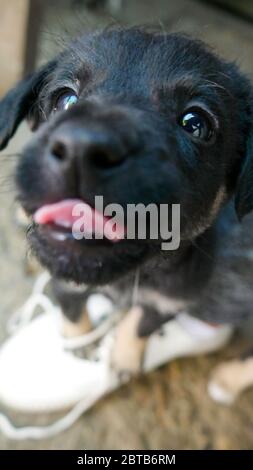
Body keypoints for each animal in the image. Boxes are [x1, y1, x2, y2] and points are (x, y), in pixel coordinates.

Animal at [0, 27, 253, 392]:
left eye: (195, 124)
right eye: (65, 99)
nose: (81, 147)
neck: (126, 278)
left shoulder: (170, 301)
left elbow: (139, 324)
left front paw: (125, 360)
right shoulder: (65, 283)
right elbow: (72, 313)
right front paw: (79, 344)